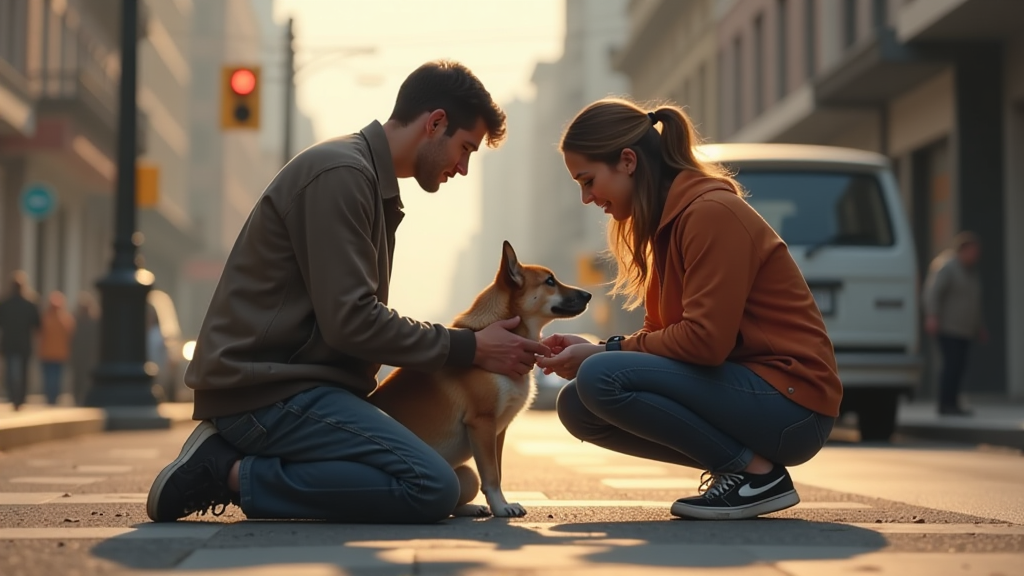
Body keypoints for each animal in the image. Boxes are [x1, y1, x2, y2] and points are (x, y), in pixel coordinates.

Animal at [370, 239, 593, 518]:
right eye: (549, 281)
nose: (589, 295)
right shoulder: (482, 423)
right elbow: (492, 475)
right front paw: (501, 507)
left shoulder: (499, 430)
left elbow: (498, 471)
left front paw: (501, 504)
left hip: (467, 475)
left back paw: (473, 507)